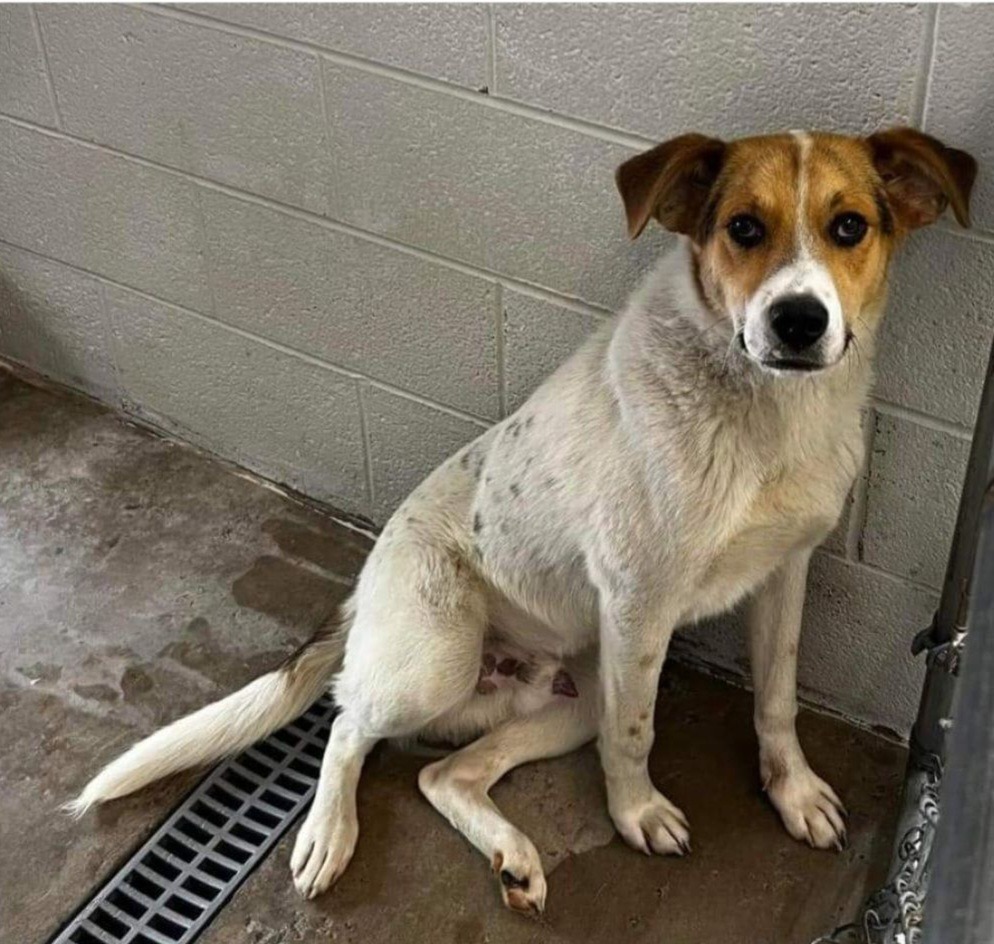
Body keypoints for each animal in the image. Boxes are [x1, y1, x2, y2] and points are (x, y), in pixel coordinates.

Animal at [73, 125, 972, 916]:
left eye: (849, 226)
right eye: (743, 228)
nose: (798, 321)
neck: (764, 411)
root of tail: (364, 591)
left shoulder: (786, 573)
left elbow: (777, 700)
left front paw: (794, 793)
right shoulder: (638, 604)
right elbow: (636, 737)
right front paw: (637, 814)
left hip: (573, 696)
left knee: (444, 775)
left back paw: (513, 858)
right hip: (437, 663)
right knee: (347, 721)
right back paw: (330, 833)